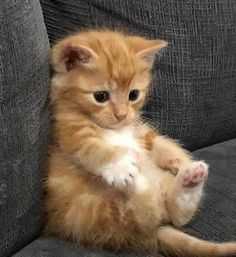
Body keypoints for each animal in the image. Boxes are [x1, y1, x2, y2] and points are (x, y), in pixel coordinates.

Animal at [44, 30, 236, 256]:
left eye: (133, 95)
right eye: (100, 96)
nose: (121, 115)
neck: (116, 129)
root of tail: (158, 230)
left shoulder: (140, 130)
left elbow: (159, 144)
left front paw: (182, 161)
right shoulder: (68, 132)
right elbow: (92, 149)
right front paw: (120, 166)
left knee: (176, 215)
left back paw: (190, 178)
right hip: (94, 214)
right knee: (145, 213)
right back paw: (137, 181)